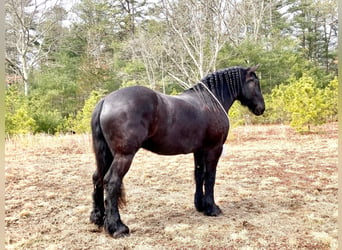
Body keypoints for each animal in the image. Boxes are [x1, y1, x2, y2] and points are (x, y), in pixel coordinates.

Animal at [89, 65, 264, 237]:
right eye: (254, 82)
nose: (261, 108)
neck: (211, 101)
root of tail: (105, 101)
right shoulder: (214, 149)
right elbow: (210, 177)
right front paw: (212, 208)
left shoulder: (199, 150)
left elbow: (199, 175)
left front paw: (200, 206)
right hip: (124, 156)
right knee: (112, 182)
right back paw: (118, 228)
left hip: (108, 155)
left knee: (97, 178)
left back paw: (98, 218)